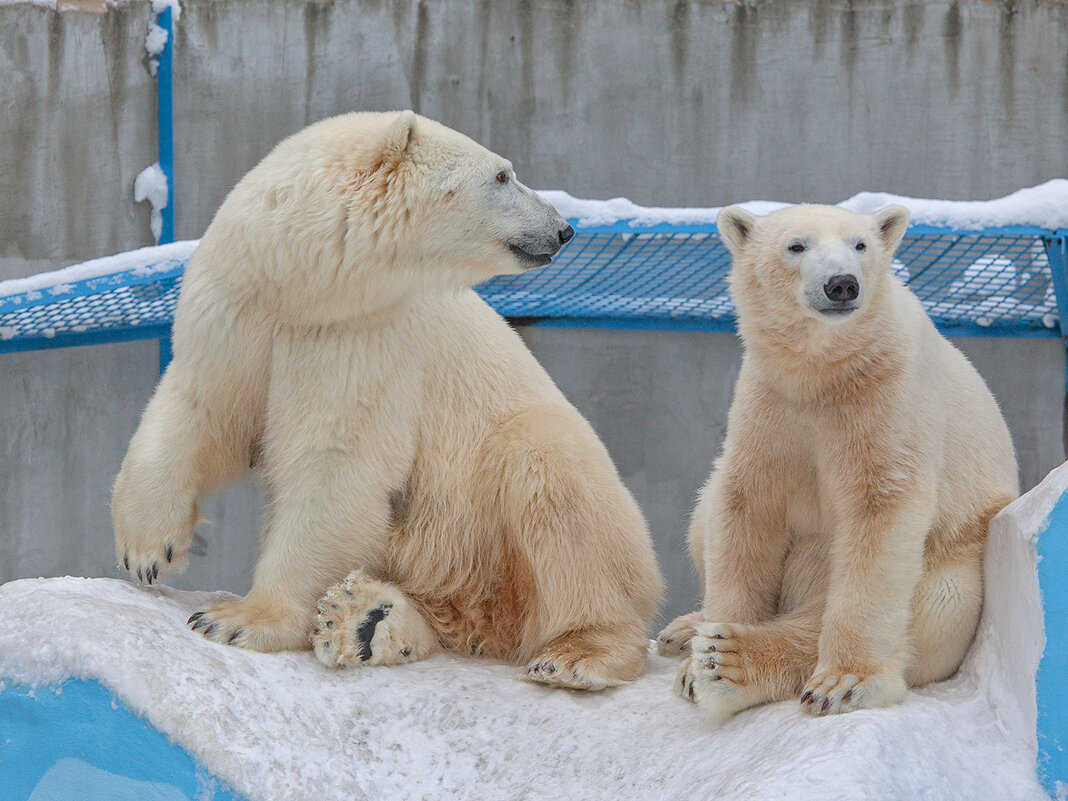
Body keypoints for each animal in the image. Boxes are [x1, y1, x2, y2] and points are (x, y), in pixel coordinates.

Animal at [108, 110, 657, 692]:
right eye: (503, 176)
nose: (563, 228)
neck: (302, 287)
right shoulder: (238, 309)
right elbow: (202, 407)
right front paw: (148, 549)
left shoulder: (363, 337)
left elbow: (333, 463)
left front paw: (237, 619)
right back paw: (366, 619)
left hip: (498, 506)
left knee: (552, 476)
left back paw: (578, 653)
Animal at [657, 203, 1016, 726]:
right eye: (796, 245)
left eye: (860, 244)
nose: (842, 284)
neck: (824, 372)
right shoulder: (771, 405)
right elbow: (745, 508)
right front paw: (696, 663)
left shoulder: (887, 400)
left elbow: (878, 514)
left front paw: (845, 683)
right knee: (704, 513)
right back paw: (688, 633)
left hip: (956, 556)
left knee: (928, 612)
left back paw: (731, 659)